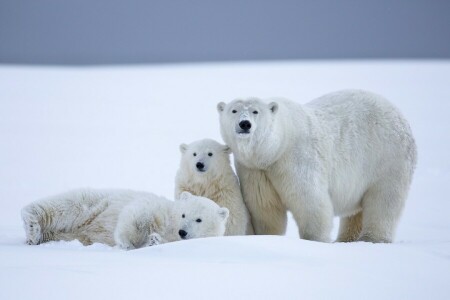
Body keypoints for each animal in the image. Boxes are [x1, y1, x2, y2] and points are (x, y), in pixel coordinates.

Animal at [216, 90, 416, 243]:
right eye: (234, 110)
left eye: (255, 111)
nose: (245, 124)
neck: (274, 150)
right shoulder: (255, 170)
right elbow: (265, 208)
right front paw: (266, 236)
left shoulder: (296, 158)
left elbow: (310, 201)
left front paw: (314, 240)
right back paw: (346, 239)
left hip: (387, 157)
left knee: (384, 200)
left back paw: (372, 238)